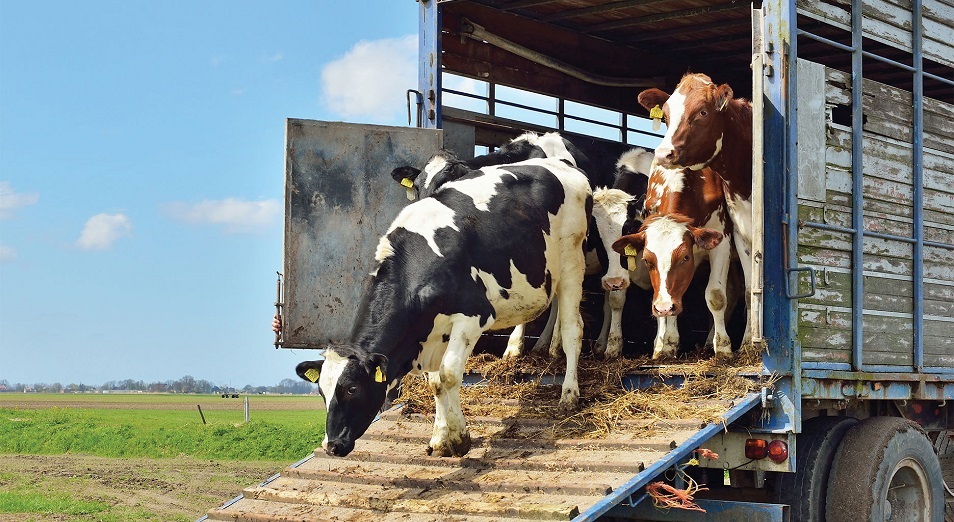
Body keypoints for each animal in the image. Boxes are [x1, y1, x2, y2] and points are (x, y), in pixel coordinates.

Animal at [296, 154, 596, 456]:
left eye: (352, 389)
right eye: (321, 391)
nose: (332, 445)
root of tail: (561, 164)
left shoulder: (473, 315)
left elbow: (449, 375)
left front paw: (460, 439)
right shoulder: (432, 332)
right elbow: (435, 383)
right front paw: (440, 438)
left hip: (572, 262)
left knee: (573, 330)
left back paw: (569, 394)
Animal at [636, 74, 756, 350]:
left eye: (702, 112)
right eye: (665, 115)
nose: (664, 153)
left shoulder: (724, 236)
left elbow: (716, 294)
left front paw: (726, 348)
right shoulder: (741, 233)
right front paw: (665, 344)